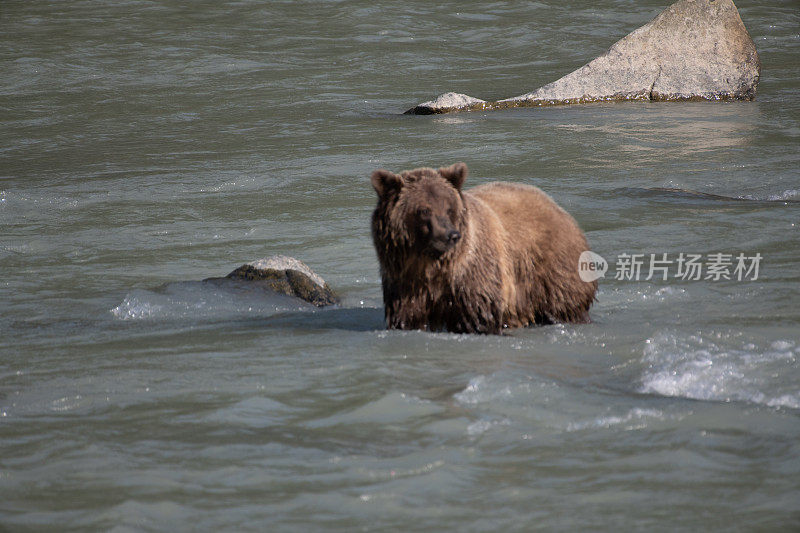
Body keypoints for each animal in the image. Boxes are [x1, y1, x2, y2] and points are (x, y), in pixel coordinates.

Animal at [368, 162, 592, 332]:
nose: (451, 235)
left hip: (551, 268)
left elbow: (478, 316)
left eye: (449, 208)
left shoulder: (471, 277)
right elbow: (407, 318)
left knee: (564, 301)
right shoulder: (404, 283)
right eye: (424, 210)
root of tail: (556, 205)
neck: (431, 265)